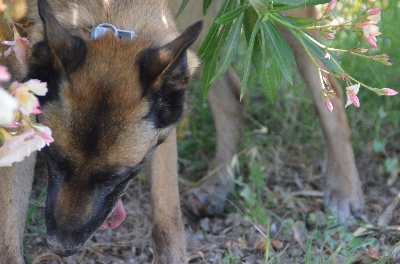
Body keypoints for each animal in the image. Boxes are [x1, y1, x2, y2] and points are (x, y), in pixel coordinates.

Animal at [0, 1, 362, 262]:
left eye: (119, 176)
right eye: (53, 160)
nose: (60, 247)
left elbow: (167, 223)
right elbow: (9, 234)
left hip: (287, 23)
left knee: (332, 92)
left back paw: (344, 190)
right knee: (232, 93)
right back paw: (219, 185)